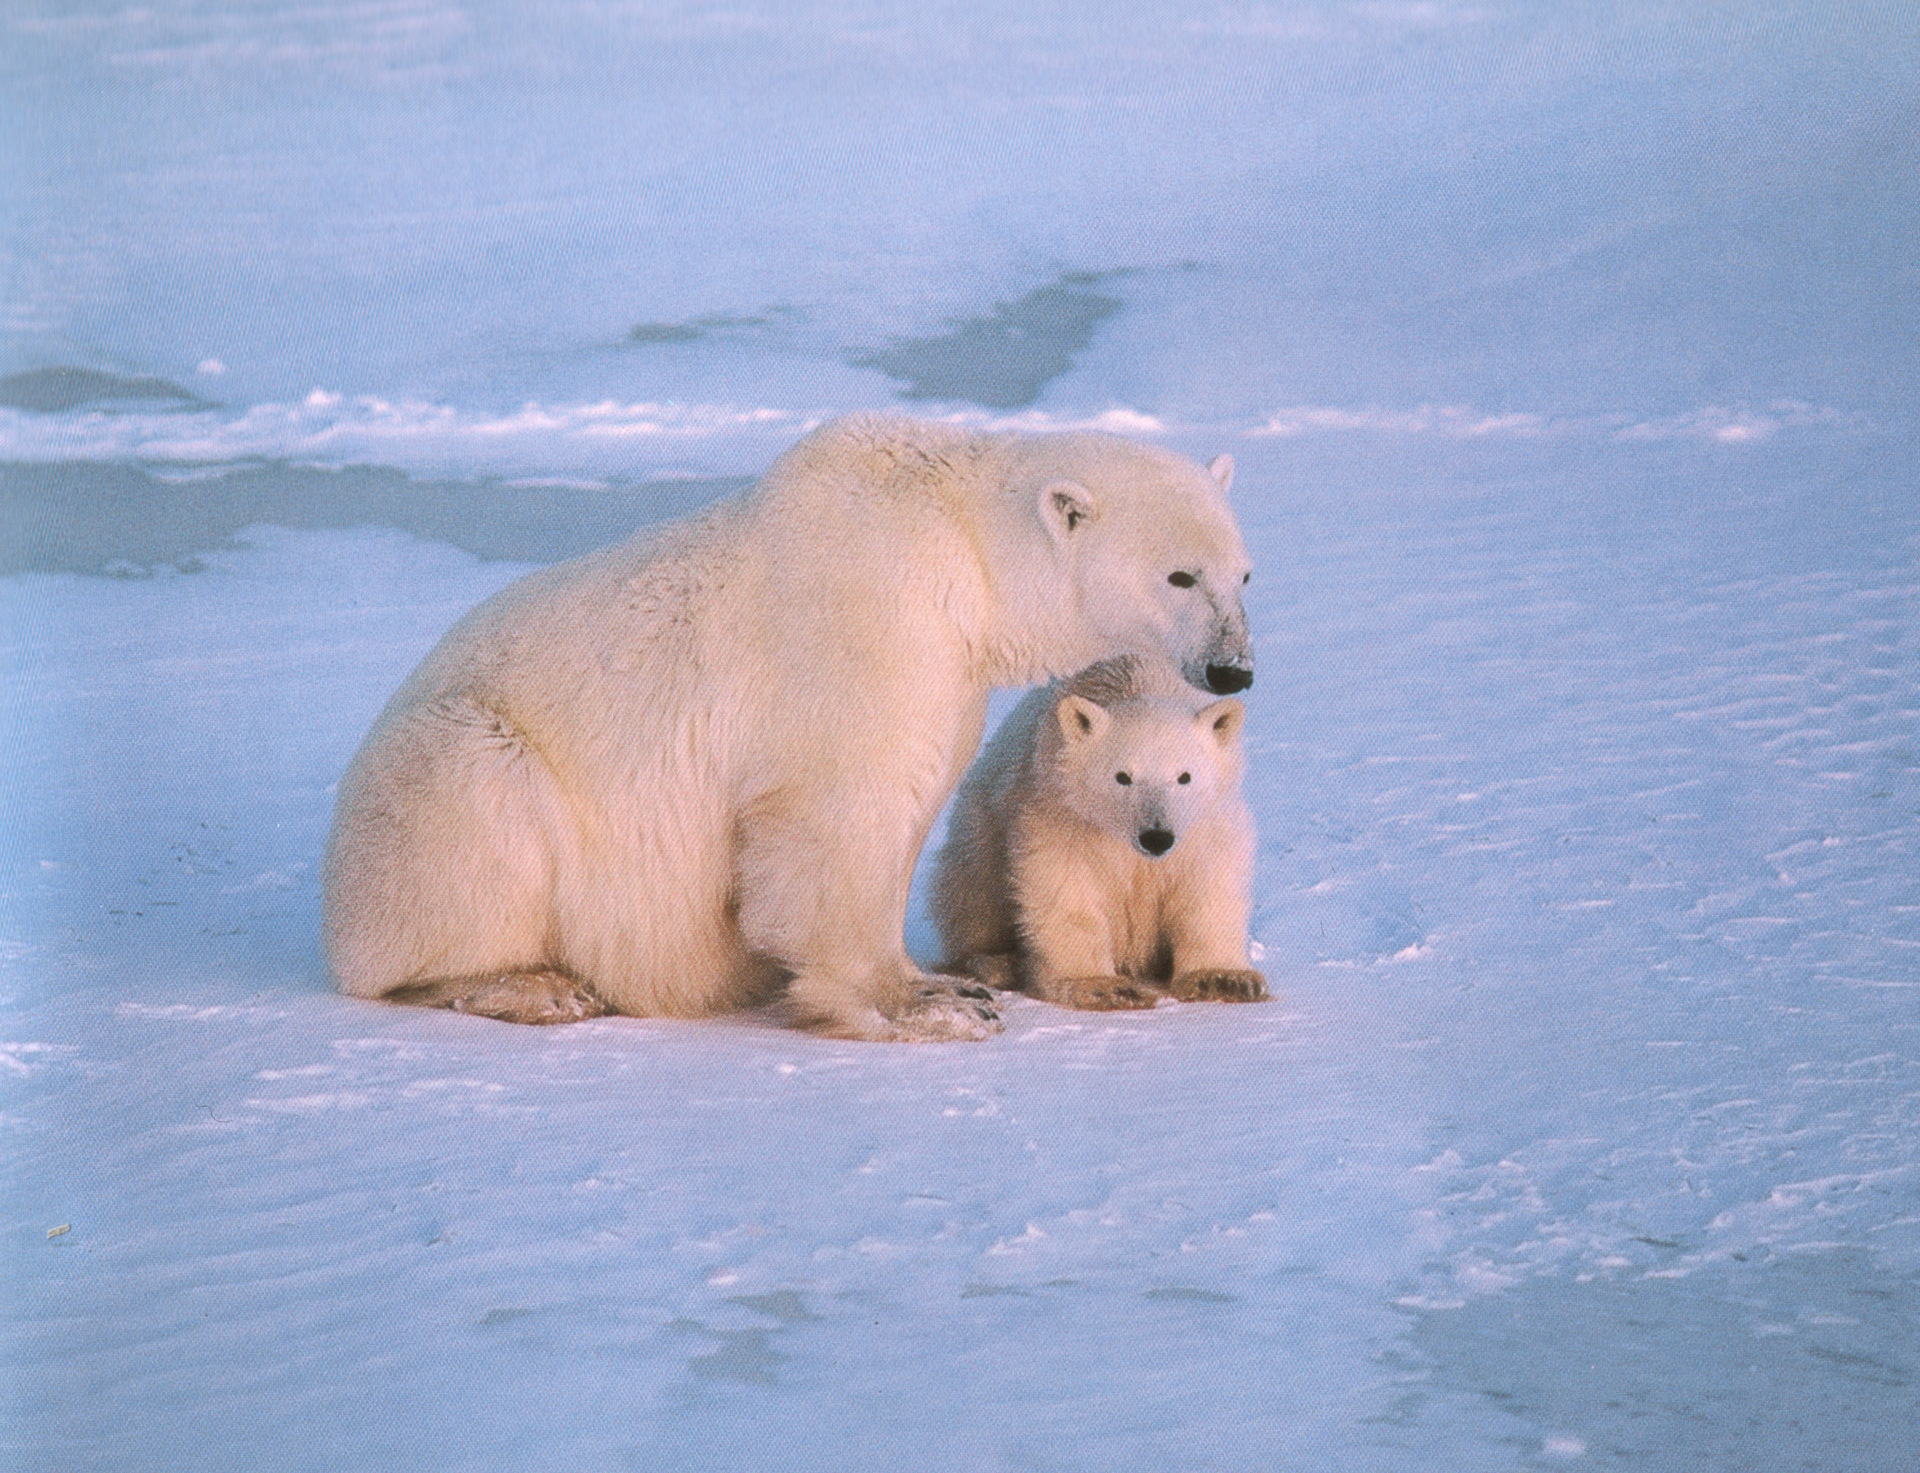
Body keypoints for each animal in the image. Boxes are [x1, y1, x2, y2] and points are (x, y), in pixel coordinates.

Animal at [925, 656, 1267, 1014]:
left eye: (1184, 776)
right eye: (1123, 776)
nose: (1156, 837)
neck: (1136, 680)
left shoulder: (1205, 825)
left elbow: (1208, 885)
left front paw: (1223, 979)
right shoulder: (1063, 816)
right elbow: (1067, 886)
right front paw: (1103, 986)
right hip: (979, 829)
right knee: (974, 894)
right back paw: (1000, 963)